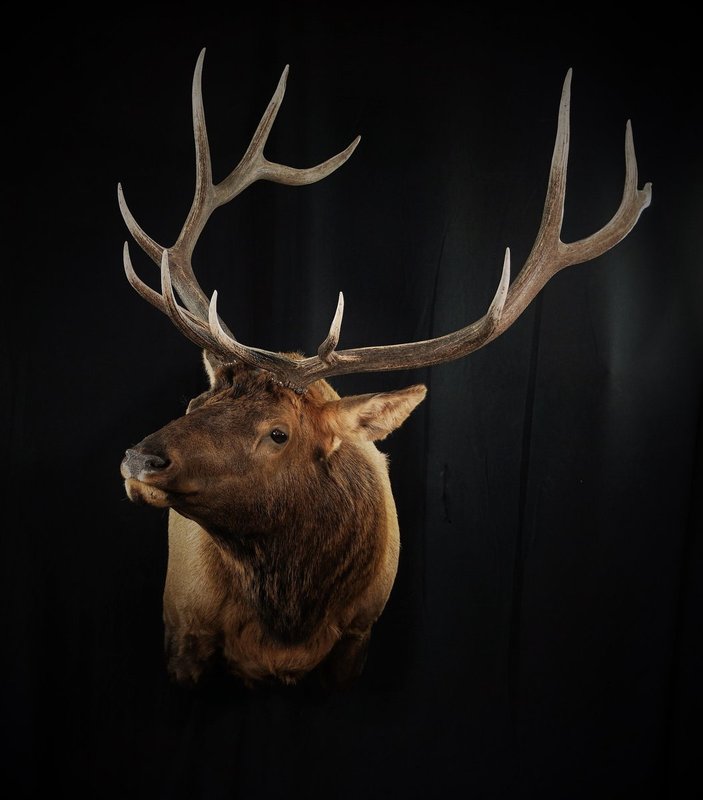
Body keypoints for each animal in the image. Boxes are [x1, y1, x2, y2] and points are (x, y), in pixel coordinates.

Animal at [118, 49, 651, 689]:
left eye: (279, 433)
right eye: (195, 403)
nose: (140, 459)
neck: (288, 626)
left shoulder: (359, 634)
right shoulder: (185, 631)